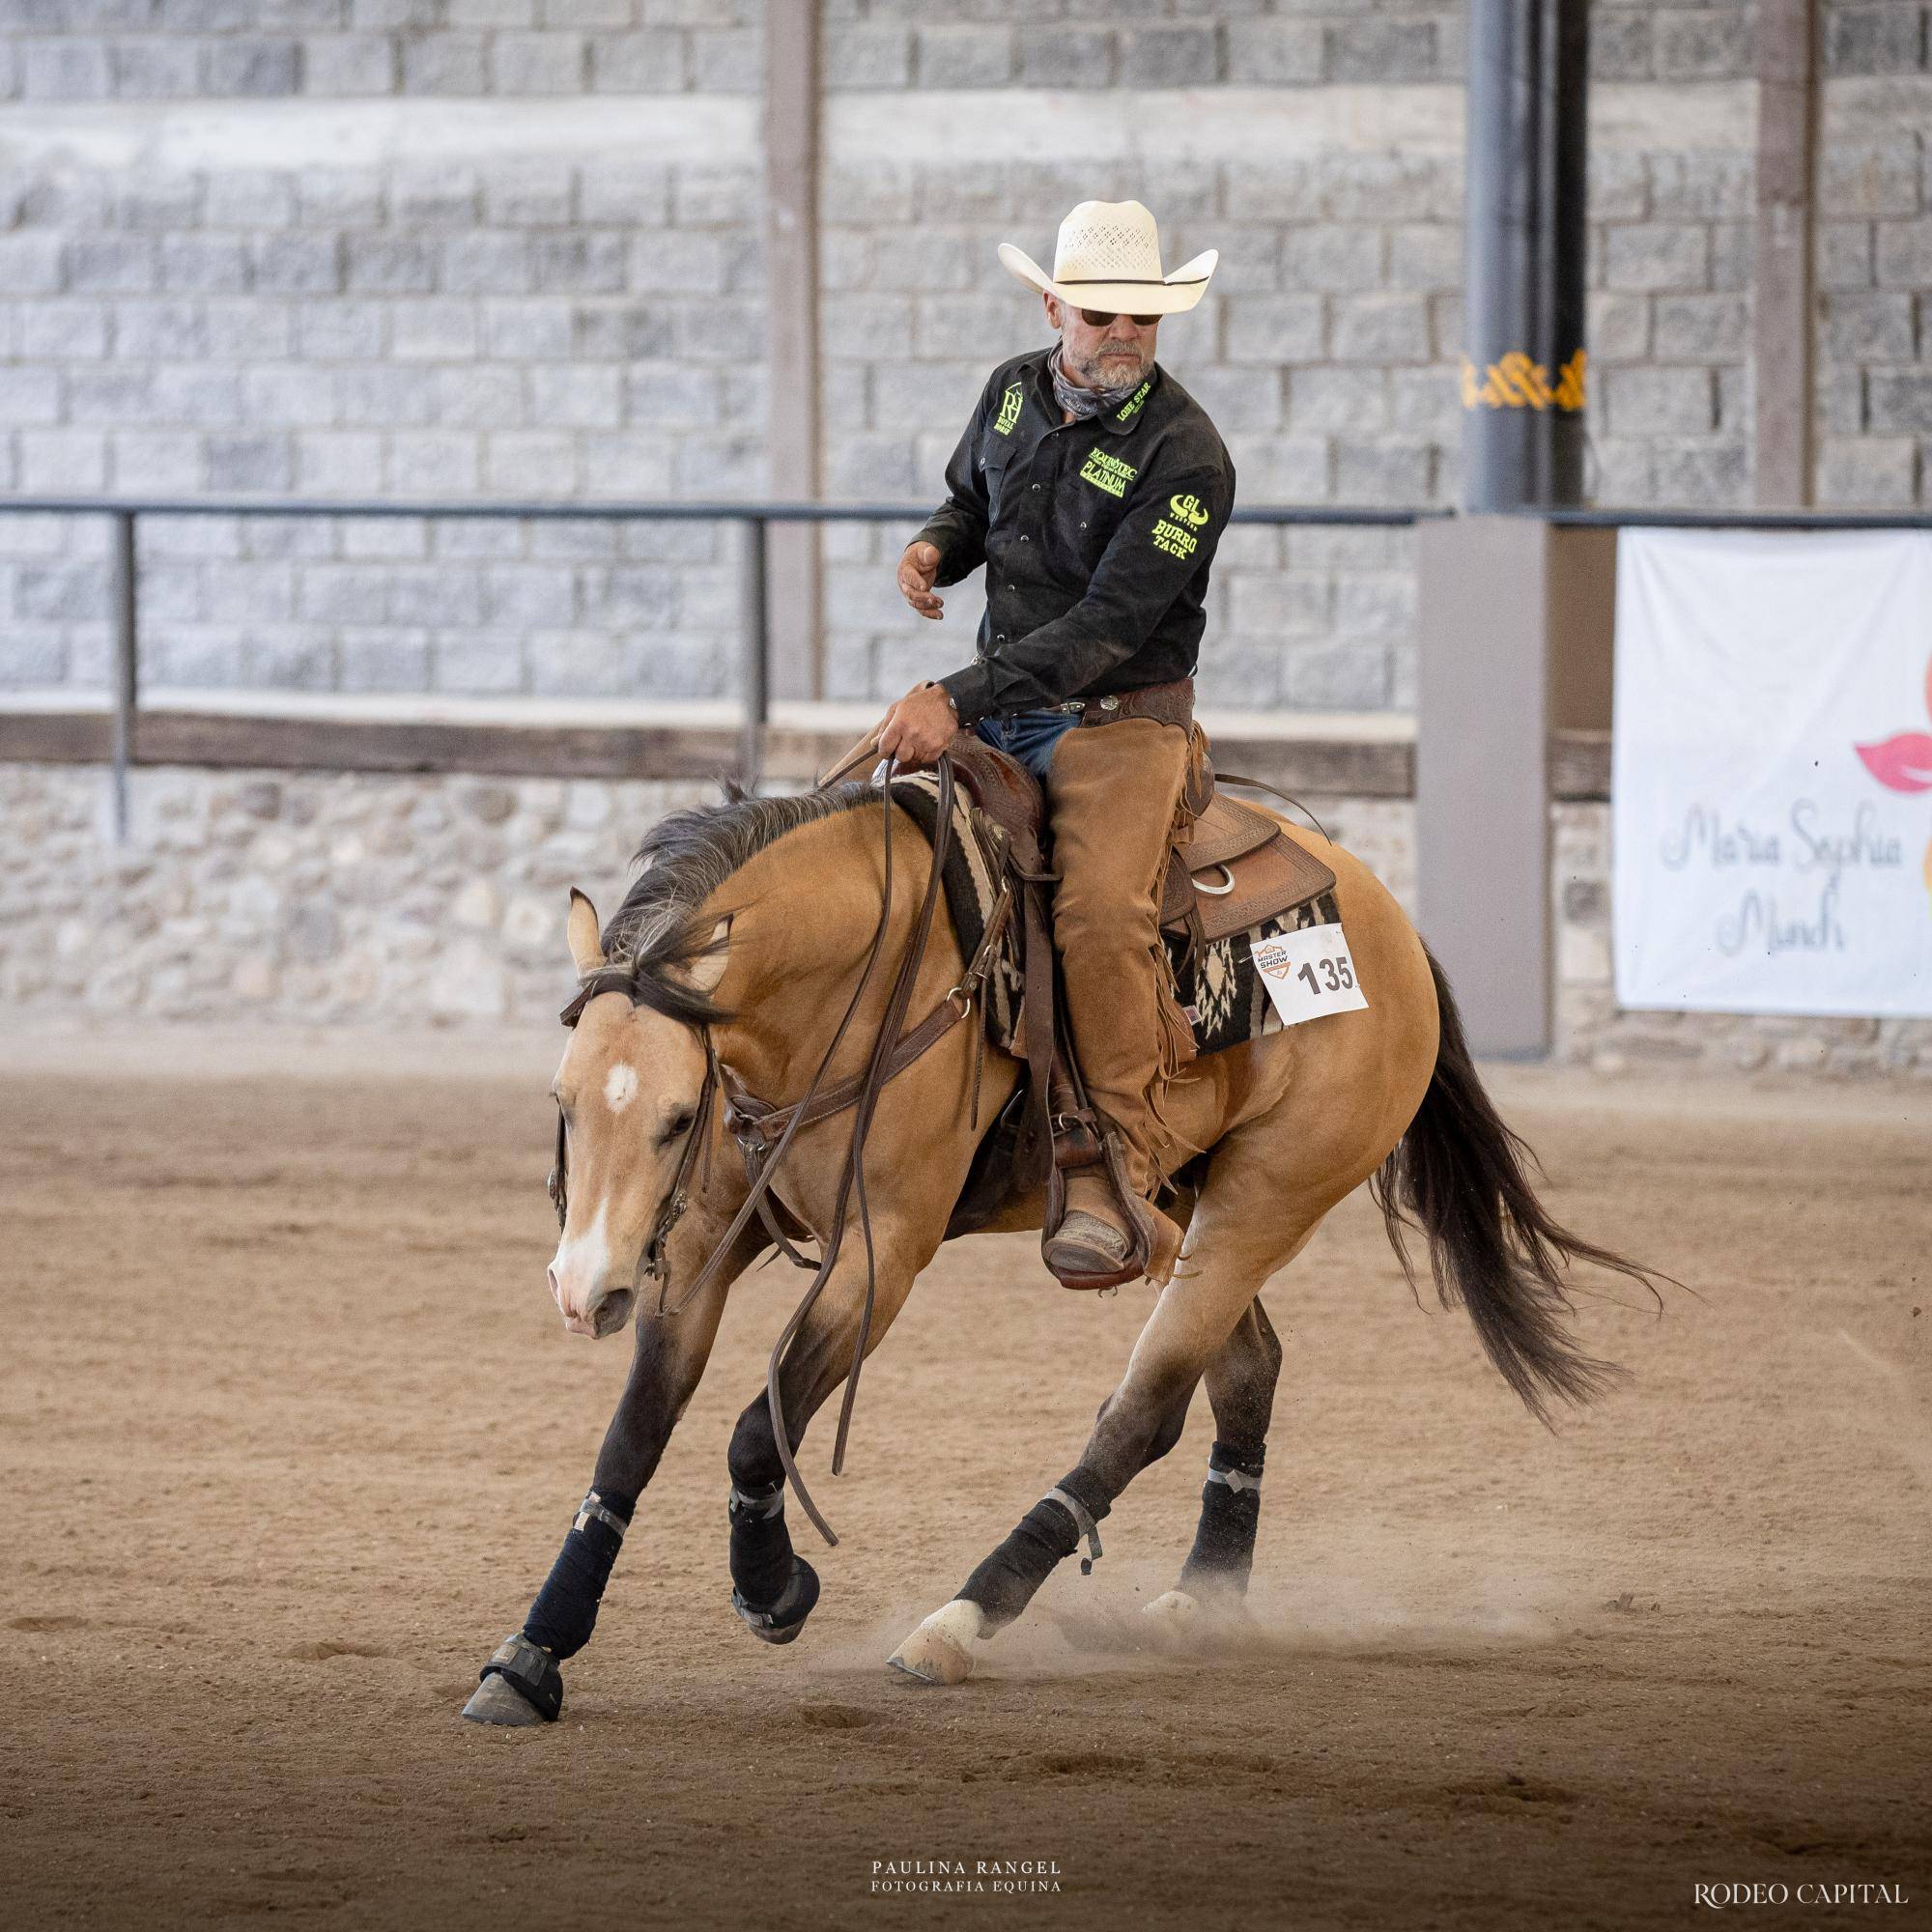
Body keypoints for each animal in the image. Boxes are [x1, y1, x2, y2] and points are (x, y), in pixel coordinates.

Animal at [460, 753, 1654, 1723]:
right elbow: (631, 1439)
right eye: (562, 1099)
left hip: (1264, 1201)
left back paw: (957, 1624)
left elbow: (760, 1426)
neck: (847, 986)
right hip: (1181, 1201)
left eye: (674, 1115)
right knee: (1244, 1371)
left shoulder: (881, 1254)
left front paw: (774, 1589)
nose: (582, 1290)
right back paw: (1201, 1602)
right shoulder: (694, 1244)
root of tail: (1390, 928)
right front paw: (530, 1656)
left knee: (1143, 1408)